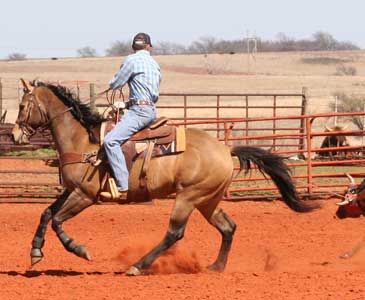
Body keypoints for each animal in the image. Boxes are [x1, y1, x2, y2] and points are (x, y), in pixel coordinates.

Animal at [12, 79, 316, 276]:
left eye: (22, 105)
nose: (15, 135)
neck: (82, 141)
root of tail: (224, 148)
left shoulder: (85, 195)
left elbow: (58, 220)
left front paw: (80, 250)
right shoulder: (70, 190)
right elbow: (46, 213)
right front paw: (35, 252)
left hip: (188, 197)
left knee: (174, 233)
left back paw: (137, 266)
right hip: (208, 200)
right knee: (228, 227)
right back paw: (216, 267)